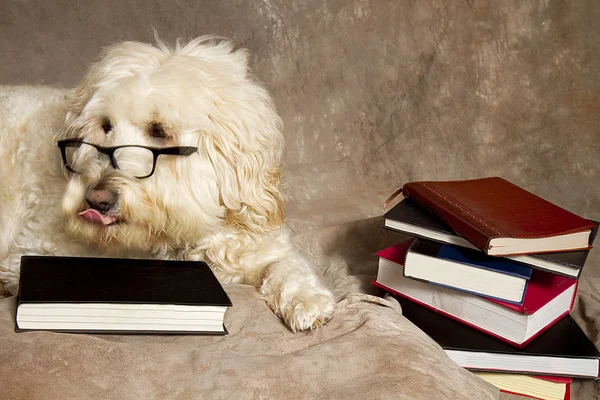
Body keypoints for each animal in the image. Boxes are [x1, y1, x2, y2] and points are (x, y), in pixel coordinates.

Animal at [0, 36, 336, 332]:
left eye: (158, 131)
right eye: (105, 126)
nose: (97, 198)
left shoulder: (260, 243)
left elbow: (287, 266)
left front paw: (308, 299)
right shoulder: (36, 248)